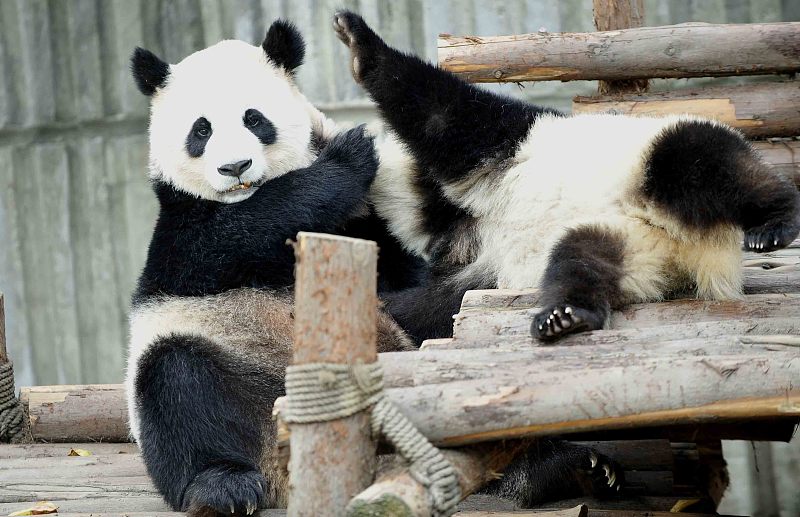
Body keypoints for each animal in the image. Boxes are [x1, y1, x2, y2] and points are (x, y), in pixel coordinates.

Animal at [331, 11, 800, 345]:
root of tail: (695, 252)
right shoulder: (472, 258)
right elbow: (431, 305)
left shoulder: (503, 148)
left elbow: (438, 112)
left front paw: (357, 43)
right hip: (627, 244)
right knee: (580, 261)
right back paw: (565, 316)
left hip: (654, 154)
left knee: (699, 162)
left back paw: (773, 224)